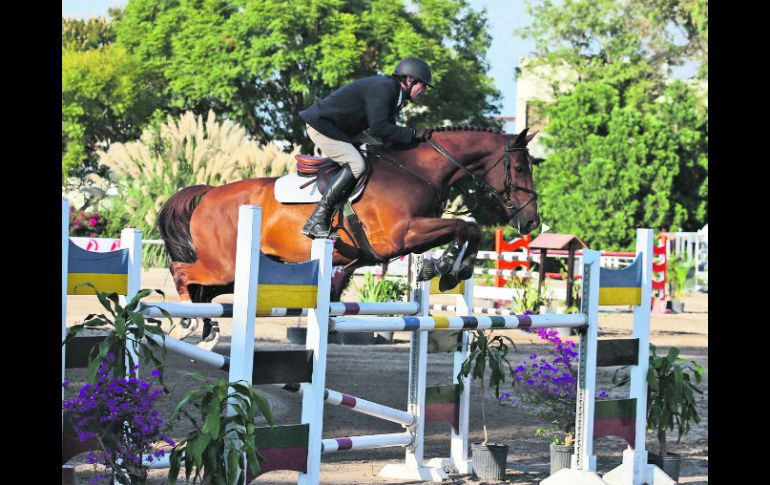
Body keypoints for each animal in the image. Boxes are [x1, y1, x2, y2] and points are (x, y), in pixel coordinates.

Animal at [158, 125, 536, 340]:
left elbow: (468, 228)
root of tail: (208, 193)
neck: (417, 170)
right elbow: (465, 225)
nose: (531, 222)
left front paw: (450, 269)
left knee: (205, 291)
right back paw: (189, 320)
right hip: (223, 265)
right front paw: (443, 267)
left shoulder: (412, 237)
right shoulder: (401, 235)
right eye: (519, 167)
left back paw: (207, 326)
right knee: (182, 272)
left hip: (233, 274)